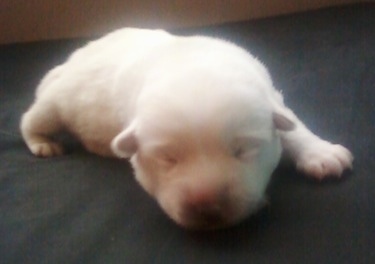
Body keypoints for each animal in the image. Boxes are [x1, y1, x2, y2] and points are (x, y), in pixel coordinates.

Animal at [21, 27, 356, 229]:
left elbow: (291, 125)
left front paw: (322, 154)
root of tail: (70, 61)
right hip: (53, 104)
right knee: (30, 120)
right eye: (167, 159)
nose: (207, 208)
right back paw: (43, 143)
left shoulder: (271, 96)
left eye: (242, 150)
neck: (193, 65)